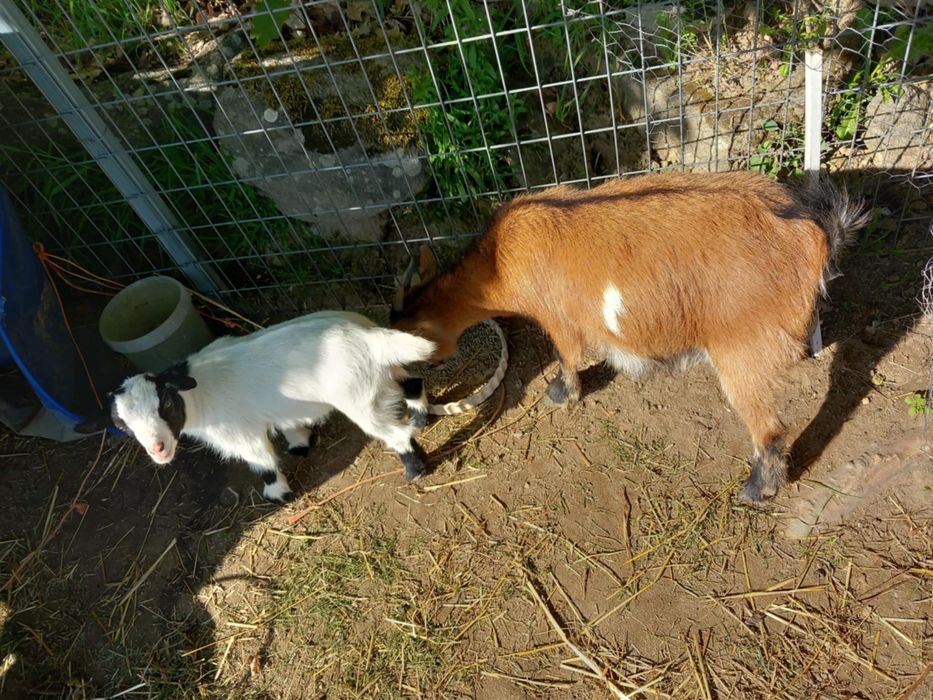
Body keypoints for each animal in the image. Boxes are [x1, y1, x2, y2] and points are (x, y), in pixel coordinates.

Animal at [77, 310, 436, 502]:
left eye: (165, 402)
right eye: (121, 424)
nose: (158, 448)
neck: (198, 393)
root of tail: (368, 336)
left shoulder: (241, 434)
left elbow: (262, 463)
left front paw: (278, 494)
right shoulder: (280, 409)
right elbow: (291, 426)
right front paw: (300, 444)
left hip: (359, 399)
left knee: (394, 433)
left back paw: (414, 469)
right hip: (381, 375)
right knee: (412, 382)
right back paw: (420, 417)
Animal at [391, 171, 868, 502]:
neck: (500, 263)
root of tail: (812, 233)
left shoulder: (559, 318)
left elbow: (566, 355)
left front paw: (561, 394)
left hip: (744, 350)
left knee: (769, 428)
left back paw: (757, 491)